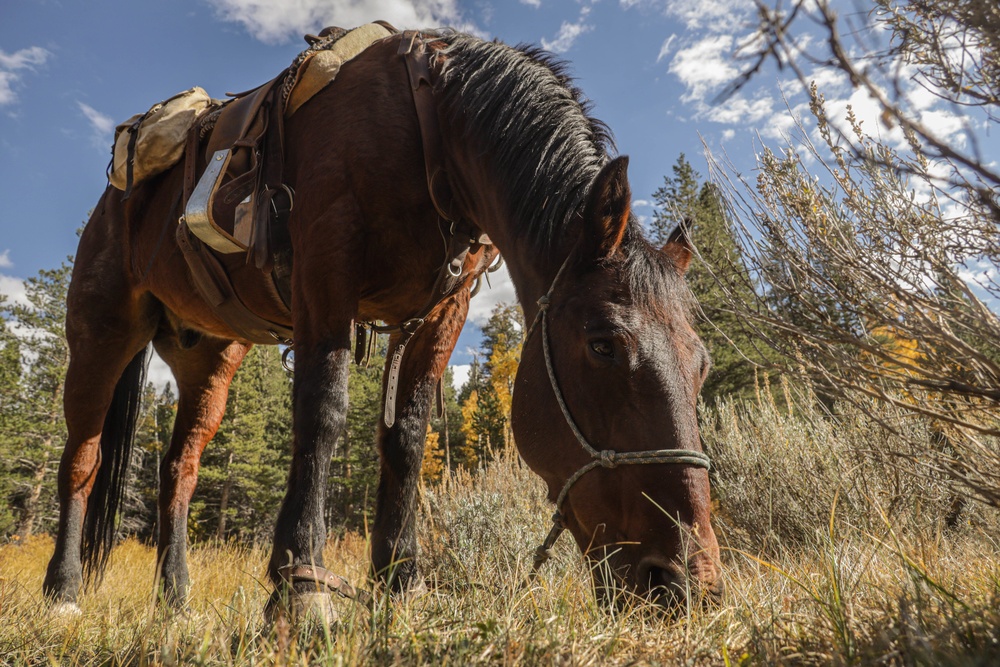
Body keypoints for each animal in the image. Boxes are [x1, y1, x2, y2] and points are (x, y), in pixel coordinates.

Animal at [43, 30, 724, 616]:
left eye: (702, 363)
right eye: (604, 344)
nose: (686, 583)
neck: (429, 128)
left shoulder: (442, 311)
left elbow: (408, 436)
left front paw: (399, 581)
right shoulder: (325, 281)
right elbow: (322, 417)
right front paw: (301, 588)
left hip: (208, 357)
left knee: (178, 472)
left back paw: (175, 599)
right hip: (101, 335)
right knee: (82, 457)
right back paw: (64, 589)